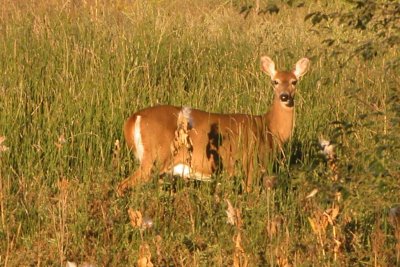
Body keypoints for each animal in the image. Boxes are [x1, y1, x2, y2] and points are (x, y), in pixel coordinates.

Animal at [117, 55, 310, 196]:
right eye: (274, 81)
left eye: (294, 81)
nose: (285, 96)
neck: (268, 128)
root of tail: (134, 118)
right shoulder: (251, 165)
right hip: (153, 158)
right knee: (122, 185)